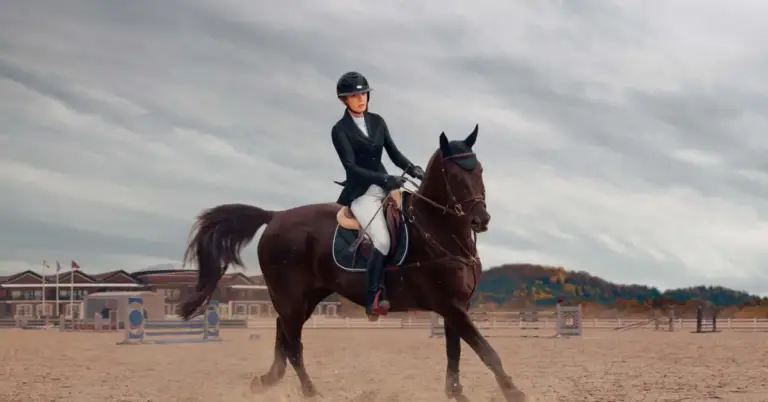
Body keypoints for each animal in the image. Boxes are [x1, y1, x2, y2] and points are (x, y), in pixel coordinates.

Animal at [179, 125, 528, 402]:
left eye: (479, 169)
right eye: (453, 175)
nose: (481, 219)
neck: (439, 231)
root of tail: (275, 216)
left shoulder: (456, 307)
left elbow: (454, 353)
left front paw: (456, 393)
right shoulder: (451, 306)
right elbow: (487, 352)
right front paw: (514, 392)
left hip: (306, 297)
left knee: (283, 333)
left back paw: (267, 381)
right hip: (291, 297)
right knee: (293, 344)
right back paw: (310, 392)